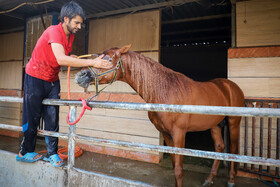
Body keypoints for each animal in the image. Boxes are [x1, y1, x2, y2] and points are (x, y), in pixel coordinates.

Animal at [75, 44, 245, 186]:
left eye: (109, 59)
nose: (81, 75)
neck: (166, 93)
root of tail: (231, 86)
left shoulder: (179, 134)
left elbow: (179, 170)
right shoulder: (166, 134)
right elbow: (174, 166)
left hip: (233, 123)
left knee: (233, 150)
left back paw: (231, 180)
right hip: (215, 124)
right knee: (219, 147)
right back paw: (209, 179)